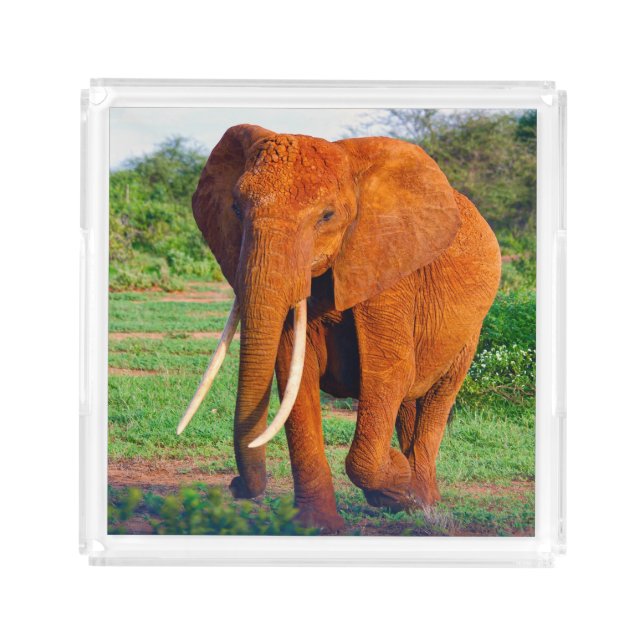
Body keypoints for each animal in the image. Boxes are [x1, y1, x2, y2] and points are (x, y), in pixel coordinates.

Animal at [176, 124, 501, 533]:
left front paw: (396, 480)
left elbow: (389, 372)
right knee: (410, 403)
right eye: (235, 208)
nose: (234, 486)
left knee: (437, 396)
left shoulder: (387, 267)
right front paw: (317, 527)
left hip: (471, 329)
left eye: (327, 216)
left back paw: (423, 502)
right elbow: (294, 374)